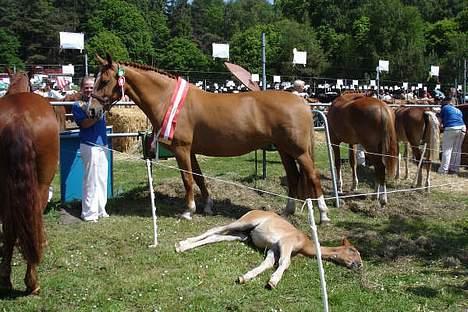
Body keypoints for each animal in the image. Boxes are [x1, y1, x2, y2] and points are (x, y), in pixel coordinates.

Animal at [91, 54, 330, 224]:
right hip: (284, 150)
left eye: (104, 81)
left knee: (313, 176)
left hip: (299, 151)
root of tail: (301, 102)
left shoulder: (181, 149)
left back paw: (324, 215)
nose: (91, 110)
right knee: (293, 177)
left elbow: (187, 179)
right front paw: (207, 205)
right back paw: (287, 211)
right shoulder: (191, 151)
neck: (168, 99)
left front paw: (188, 210)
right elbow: (199, 178)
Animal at [176, 210, 362, 288]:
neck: (305, 243)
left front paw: (244, 277)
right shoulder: (285, 243)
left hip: (242, 235)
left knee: (217, 236)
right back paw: (182, 245)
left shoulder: (273, 248)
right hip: (243, 223)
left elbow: (267, 264)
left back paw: (185, 245)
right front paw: (273, 282)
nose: (359, 265)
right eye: (353, 251)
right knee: (216, 229)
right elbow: (285, 263)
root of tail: (254, 210)